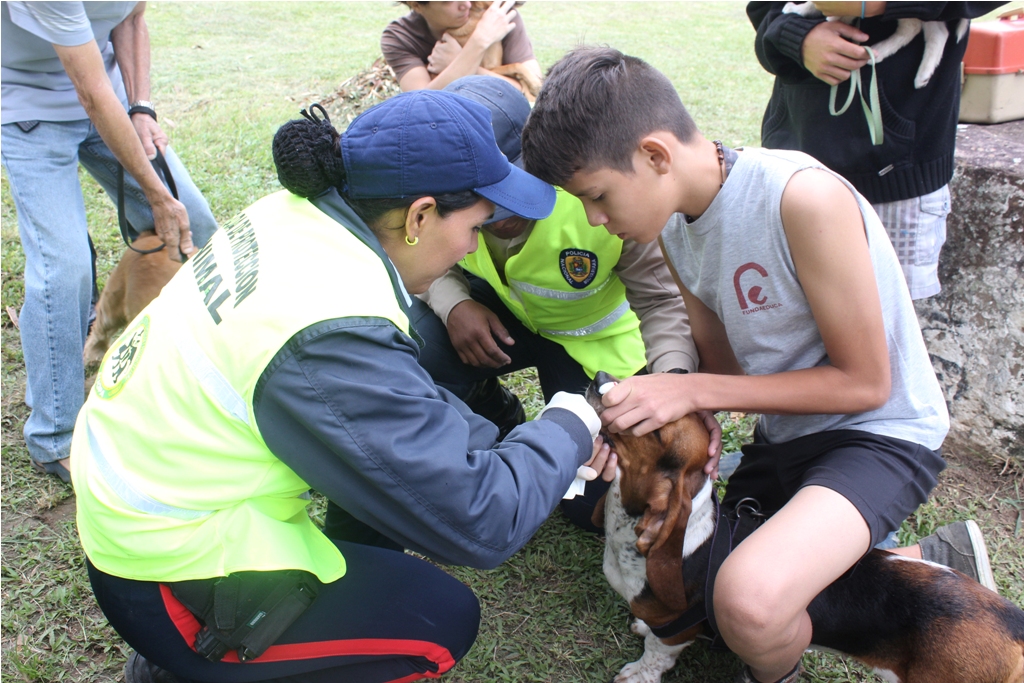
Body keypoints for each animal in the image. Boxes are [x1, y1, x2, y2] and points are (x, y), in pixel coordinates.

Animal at [589, 374, 1024, 683]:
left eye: (653, 429)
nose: (599, 377)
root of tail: (1015, 628)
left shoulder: (675, 632)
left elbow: (656, 654)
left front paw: (638, 674)